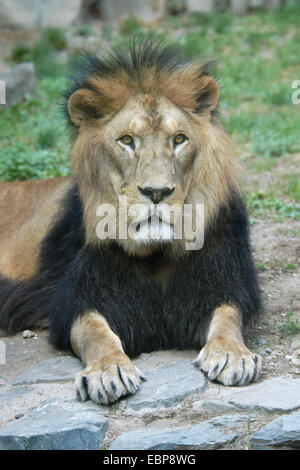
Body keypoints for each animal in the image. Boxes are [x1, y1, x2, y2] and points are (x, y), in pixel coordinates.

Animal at [0, 42, 262, 406]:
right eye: (126, 140)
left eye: (179, 139)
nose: (156, 192)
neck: (156, 255)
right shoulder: (78, 298)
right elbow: (95, 333)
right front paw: (108, 370)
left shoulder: (223, 281)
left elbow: (227, 319)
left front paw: (232, 354)